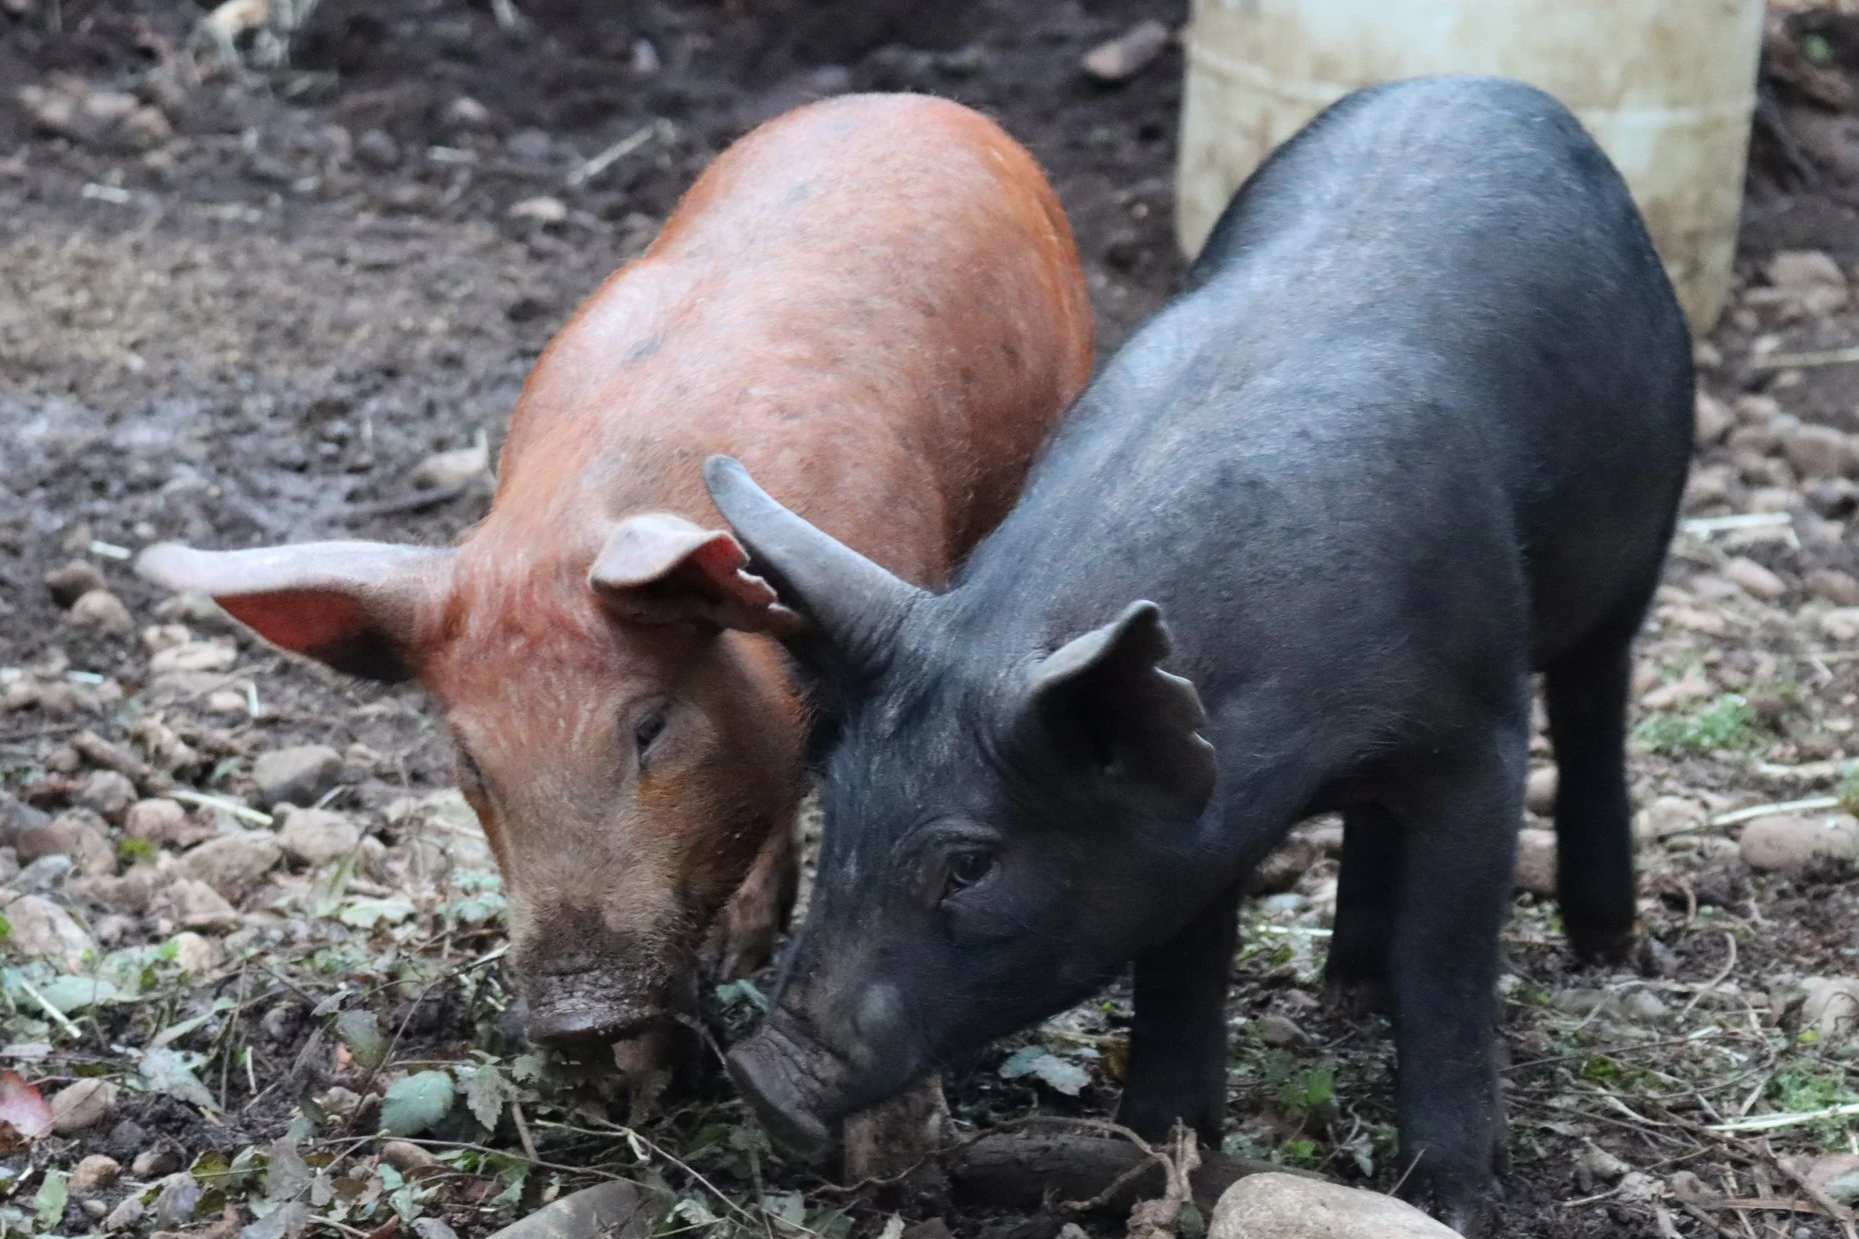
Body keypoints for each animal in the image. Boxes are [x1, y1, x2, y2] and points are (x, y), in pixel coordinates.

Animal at [704, 77, 1692, 1233]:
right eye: (839, 814)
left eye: (970, 862)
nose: (760, 1071)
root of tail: (1489, 86)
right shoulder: (1191, 823)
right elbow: (1181, 967)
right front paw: (1156, 1148)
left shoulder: (1477, 736)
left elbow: (1445, 962)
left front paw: (1452, 1193)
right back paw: (1345, 987)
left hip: (1637, 545)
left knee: (1593, 703)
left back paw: (1603, 942)